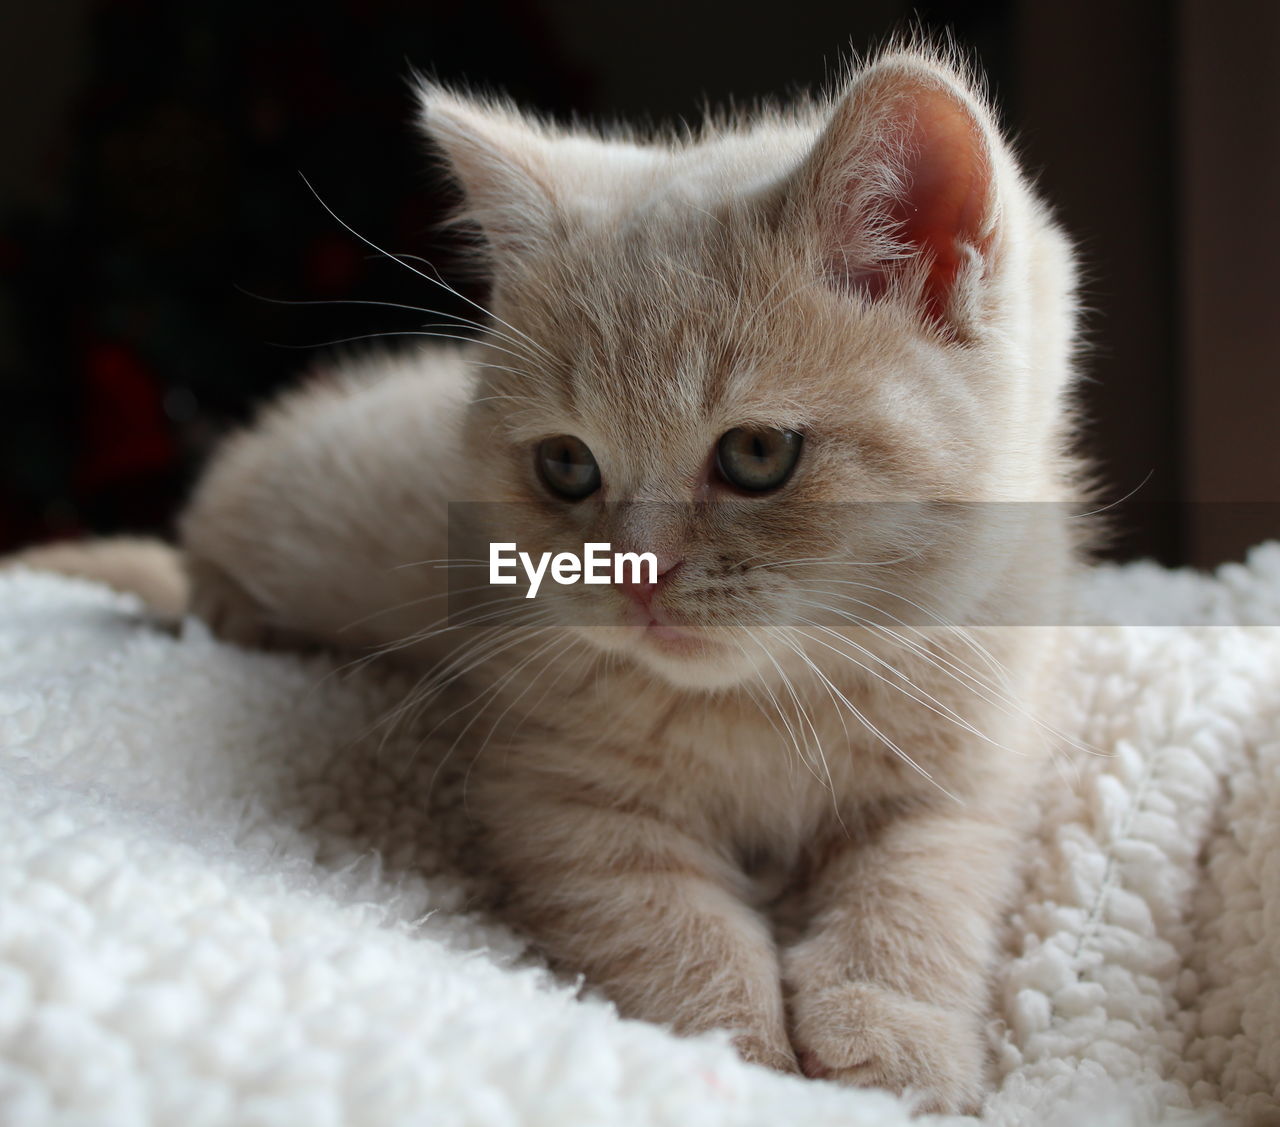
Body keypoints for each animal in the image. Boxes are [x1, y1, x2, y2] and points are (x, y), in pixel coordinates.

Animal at [57, 41, 1090, 1111]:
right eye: (566, 465)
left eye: (758, 453)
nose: (631, 572)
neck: (765, 703)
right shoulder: (563, 794)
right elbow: (672, 927)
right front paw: (740, 1058)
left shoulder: (967, 772)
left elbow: (919, 892)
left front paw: (897, 1045)